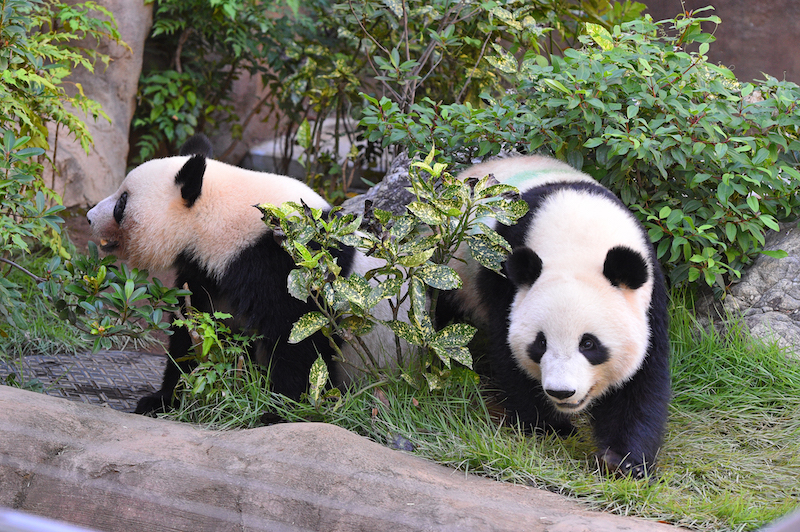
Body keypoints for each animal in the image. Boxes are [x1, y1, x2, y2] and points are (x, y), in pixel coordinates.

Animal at [87, 135, 406, 414]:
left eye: (121, 203)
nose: (89, 217)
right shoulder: (210, 272)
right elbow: (194, 328)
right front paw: (163, 399)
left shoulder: (291, 263)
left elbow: (300, 341)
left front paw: (280, 411)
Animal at [440, 155, 672, 478]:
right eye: (540, 343)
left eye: (589, 344)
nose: (562, 392)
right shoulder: (503, 272)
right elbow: (508, 353)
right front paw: (551, 426)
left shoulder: (649, 294)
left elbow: (642, 378)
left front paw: (622, 461)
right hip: (450, 266)